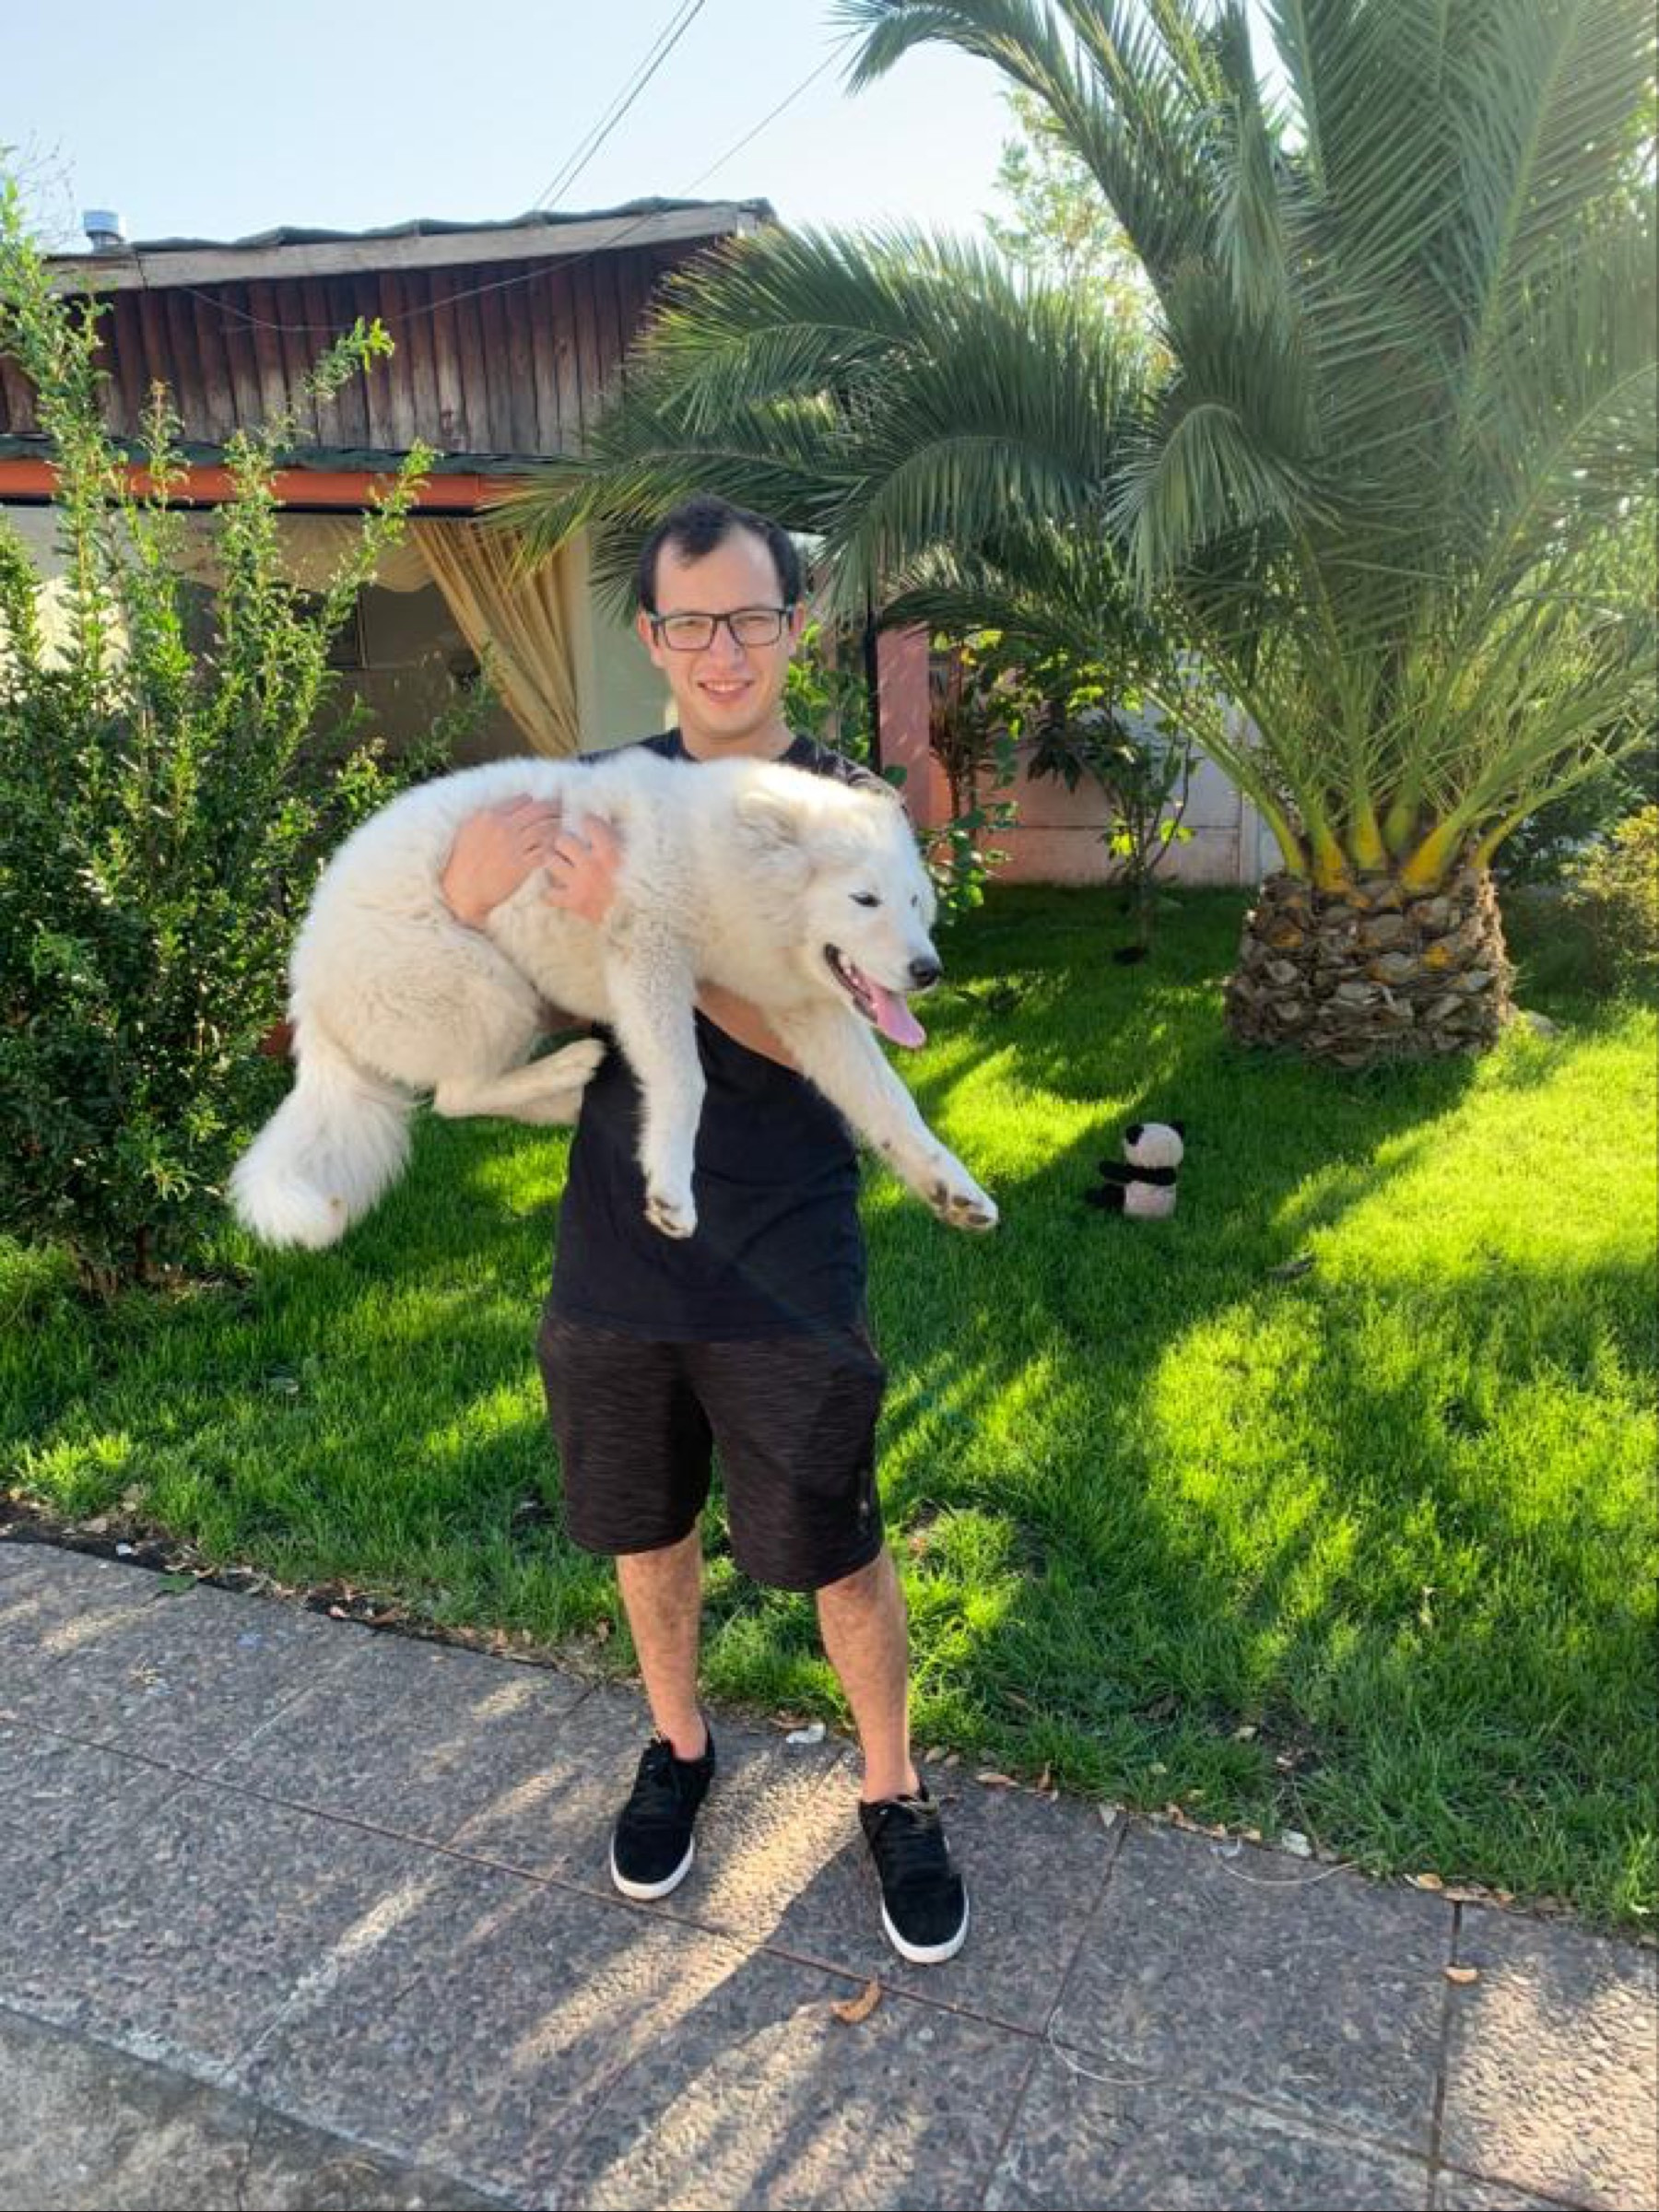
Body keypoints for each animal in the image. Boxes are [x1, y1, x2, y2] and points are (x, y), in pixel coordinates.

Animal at [229, 747, 1000, 1250]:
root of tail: (304, 985)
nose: (928, 971)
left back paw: (569, 1095)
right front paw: (670, 1191)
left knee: (460, 1097)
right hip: (490, 987)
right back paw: (570, 1074)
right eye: (864, 899)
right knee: (454, 1097)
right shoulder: (649, 958)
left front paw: (954, 1190)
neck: (721, 867)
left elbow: (892, 1105)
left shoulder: (806, 1010)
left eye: (915, 901)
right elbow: (685, 1082)